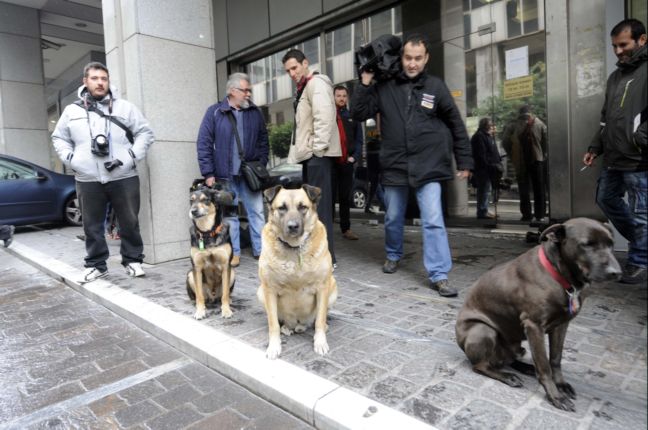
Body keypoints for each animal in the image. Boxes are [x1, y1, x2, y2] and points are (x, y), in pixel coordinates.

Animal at [186, 181, 237, 320]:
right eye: (191, 200)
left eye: (206, 200)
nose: (193, 211)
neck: (207, 232)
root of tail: (213, 296)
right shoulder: (197, 267)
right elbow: (199, 296)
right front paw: (200, 311)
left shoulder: (226, 266)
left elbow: (225, 294)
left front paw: (226, 310)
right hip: (190, 275)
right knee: (199, 296)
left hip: (232, 273)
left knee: (225, 294)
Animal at [258, 185, 340, 360]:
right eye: (282, 208)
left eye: (303, 207)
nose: (293, 226)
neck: (294, 247)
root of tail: (297, 323)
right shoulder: (269, 289)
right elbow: (273, 324)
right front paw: (274, 346)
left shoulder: (322, 287)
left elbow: (319, 320)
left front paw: (320, 342)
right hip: (260, 292)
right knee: (282, 322)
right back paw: (287, 328)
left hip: (333, 288)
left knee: (316, 320)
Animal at [456, 220, 624, 412]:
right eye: (587, 244)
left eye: (611, 244)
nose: (617, 273)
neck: (559, 275)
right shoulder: (534, 326)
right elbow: (544, 366)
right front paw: (555, 396)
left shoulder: (561, 325)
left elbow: (555, 359)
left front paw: (561, 385)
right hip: (483, 330)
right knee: (481, 365)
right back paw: (507, 376)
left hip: (515, 345)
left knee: (509, 359)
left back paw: (525, 368)